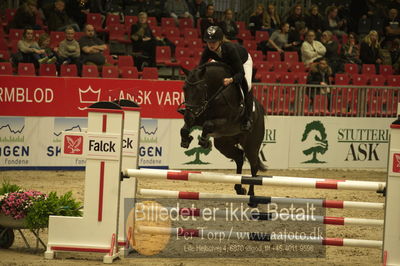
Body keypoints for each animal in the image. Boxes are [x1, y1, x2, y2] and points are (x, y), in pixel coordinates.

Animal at [180, 62, 268, 198]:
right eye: (184, 88)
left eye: (199, 89)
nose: (188, 116)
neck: (215, 94)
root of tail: (260, 110)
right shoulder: (198, 116)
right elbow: (185, 129)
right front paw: (186, 140)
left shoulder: (226, 122)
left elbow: (208, 125)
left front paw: (204, 141)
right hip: (224, 144)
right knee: (239, 157)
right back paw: (239, 188)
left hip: (251, 145)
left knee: (253, 166)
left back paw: (251, 194)